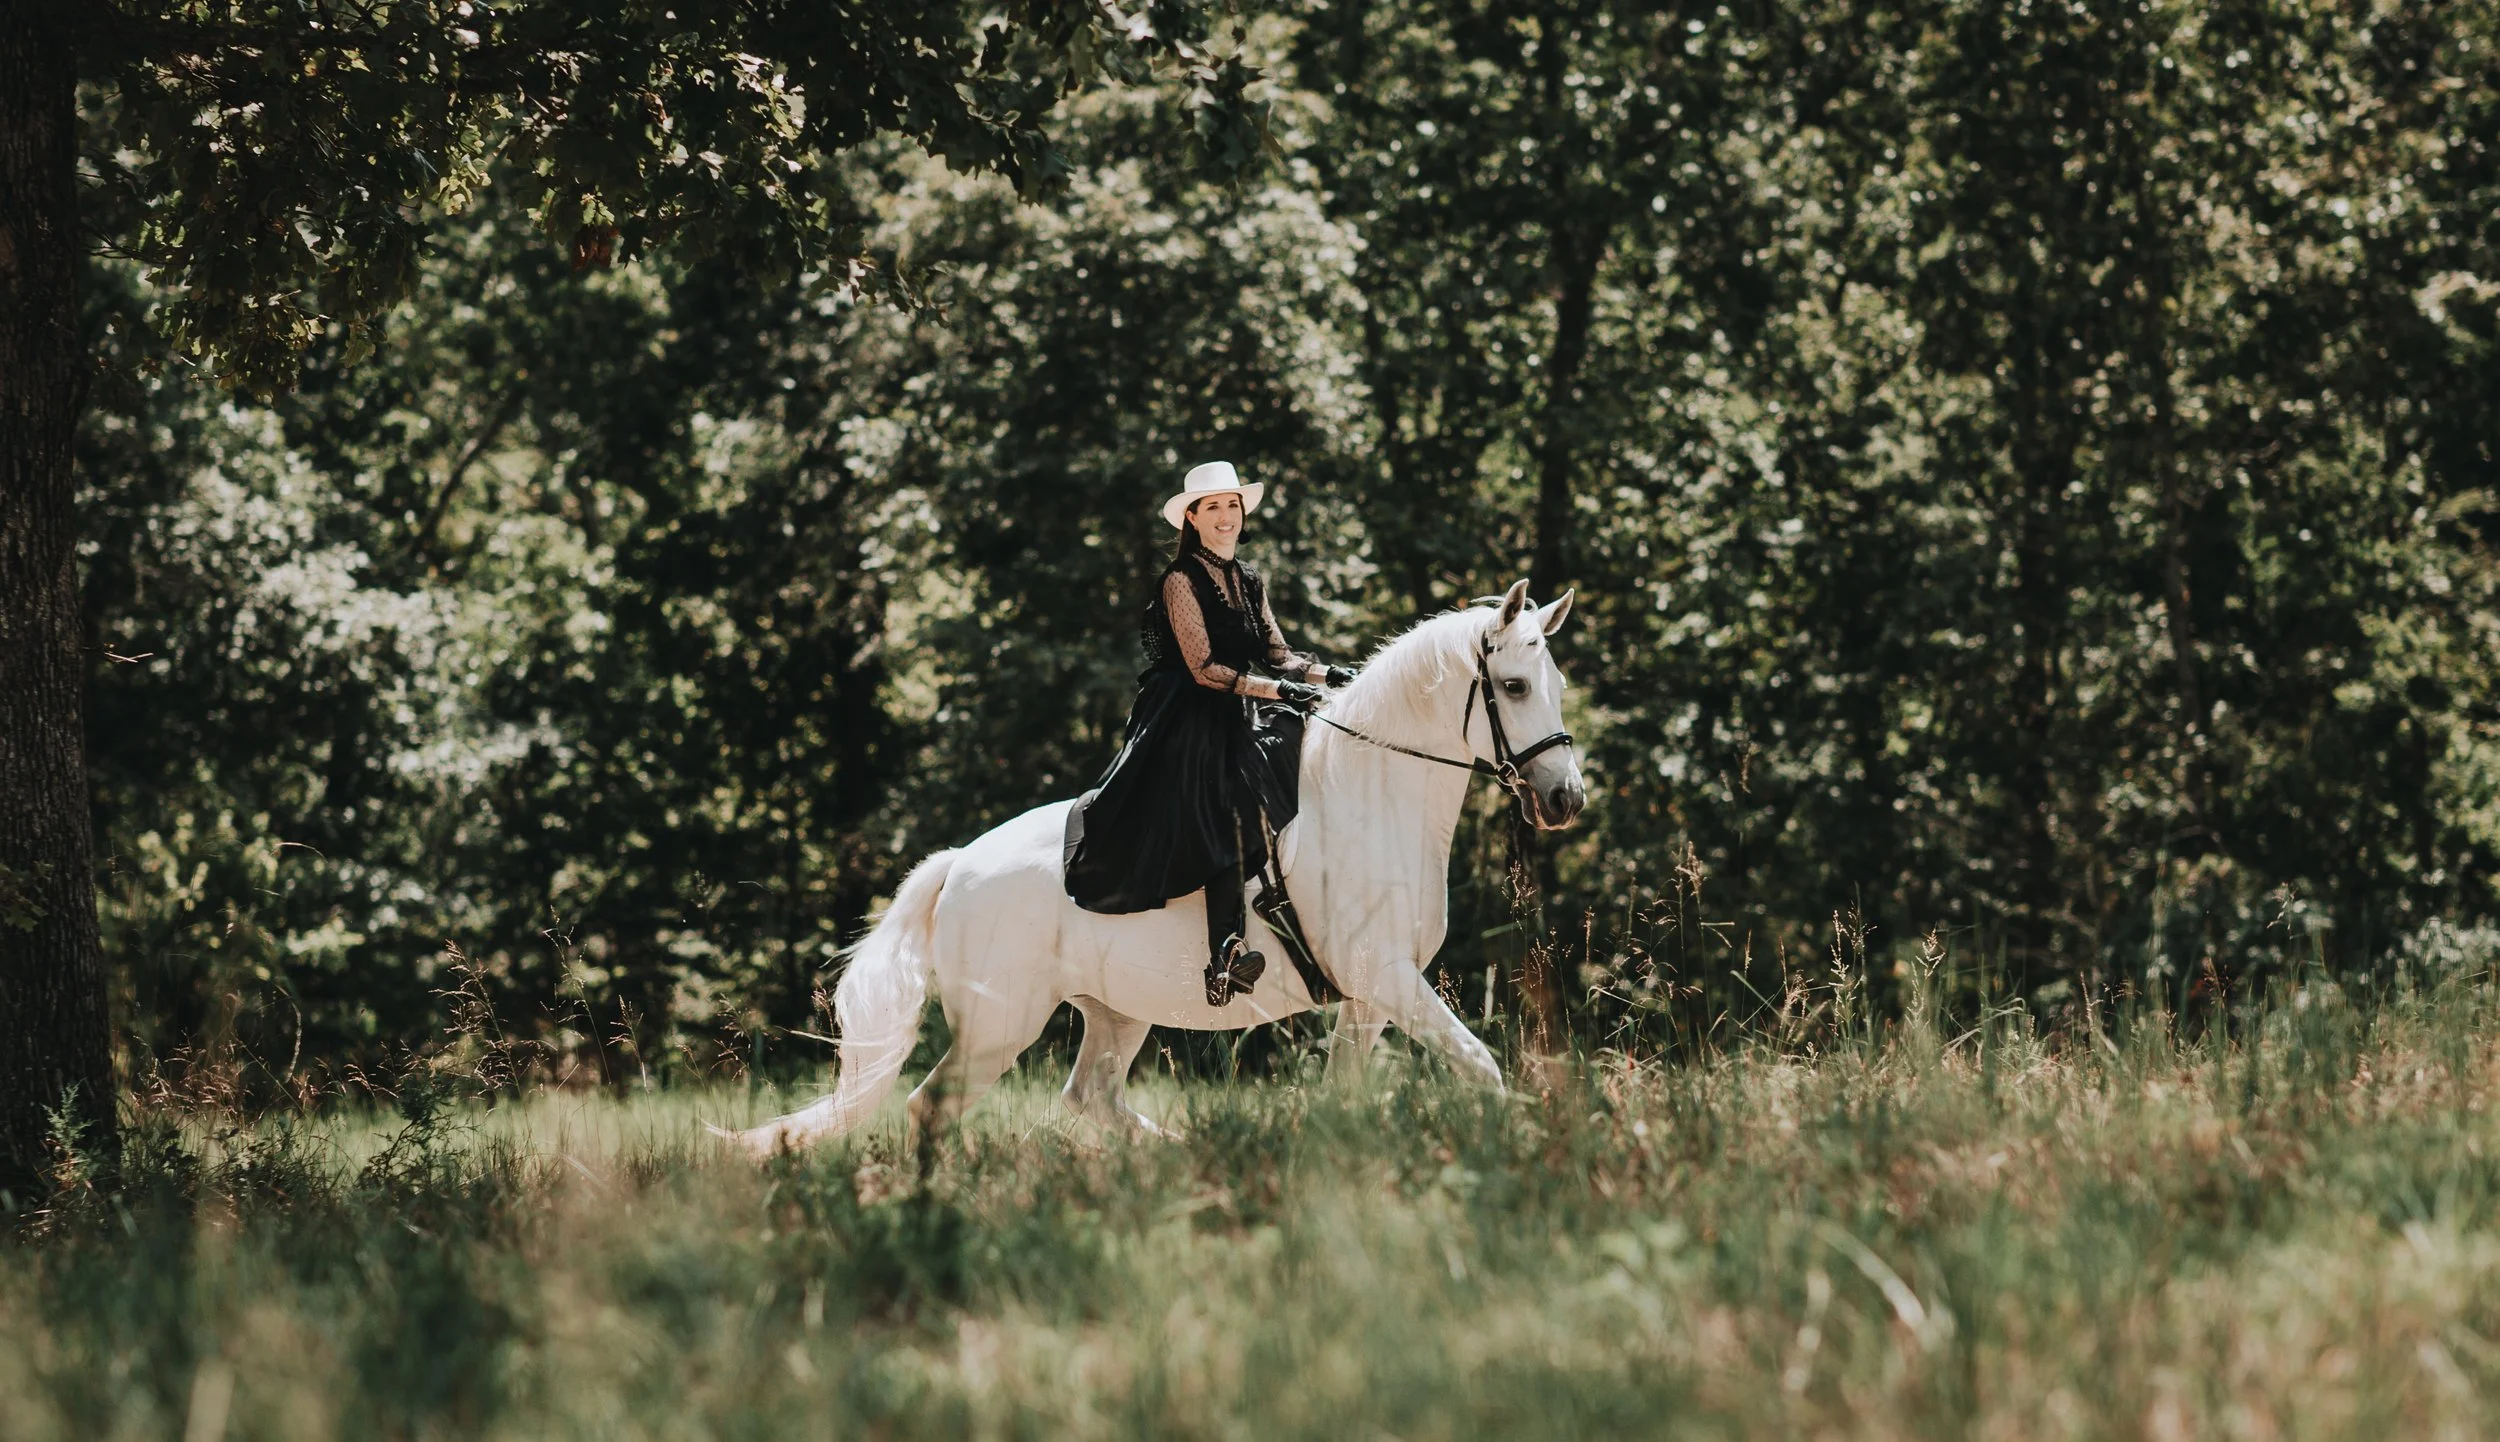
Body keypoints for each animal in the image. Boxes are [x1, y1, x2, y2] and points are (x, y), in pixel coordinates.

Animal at [727, 578, 1585, 1153]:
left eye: (1556, 684)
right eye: (1513, 686)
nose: (1565, 797)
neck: (1374, 797)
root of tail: (959, 864)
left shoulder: (1372, 994)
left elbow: (1345, 1096)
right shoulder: (1388, 978)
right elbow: (1482, 1066)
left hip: (1115, 1011)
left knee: (1090, 1098)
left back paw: (1173, 1159)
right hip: (1001, 1024)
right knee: (932, 1108)